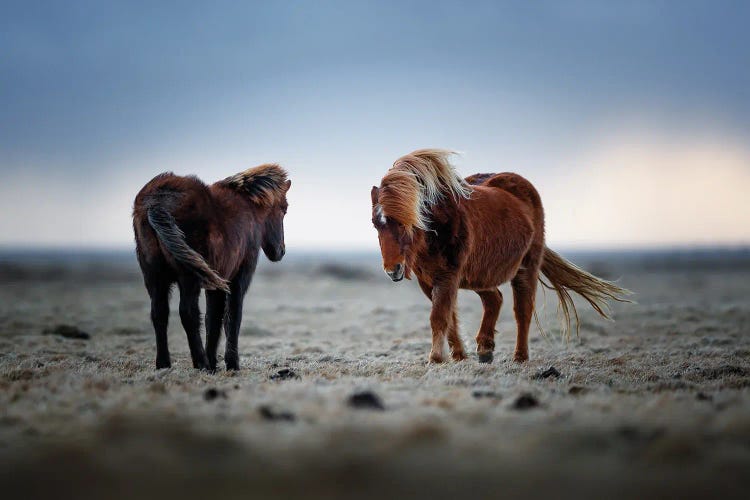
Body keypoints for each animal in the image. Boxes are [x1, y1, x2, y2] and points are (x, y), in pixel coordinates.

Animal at [133, 164, 290, 372]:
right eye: (284, 209)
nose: (280, 251)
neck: (250, 207)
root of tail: (157, 202)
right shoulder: (236, 280)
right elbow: (232, 317)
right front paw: (231, 364)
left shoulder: (216, 283)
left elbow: (212, 319)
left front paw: (214, 364)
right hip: (188, 278)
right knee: (188, 313)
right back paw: (201, 362)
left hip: (154, 277)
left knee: (159, 313)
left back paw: (164, 364)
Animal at [374, 148, 632, 364]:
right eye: (376, 224)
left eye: (406, 224)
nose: (393, 270)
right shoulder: (428, 280)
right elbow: (449, 317)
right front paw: (458, 356)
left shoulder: (447, 276)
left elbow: (440, 317)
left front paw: (436, 359)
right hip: (481, 273)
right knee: (494, 299)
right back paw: (485, 350)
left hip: (525, 268)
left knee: (522, 310)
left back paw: (520, 357)